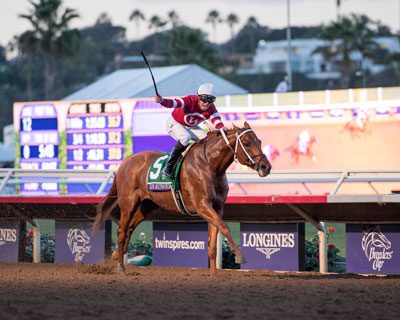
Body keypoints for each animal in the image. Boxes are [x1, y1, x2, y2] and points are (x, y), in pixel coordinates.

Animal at [93, 122, 272, 276]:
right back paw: (121, 267)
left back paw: (117, 254)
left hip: (146, 206)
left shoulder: (217, 207)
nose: (266, 167)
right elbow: (225, 227)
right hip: (128, 203)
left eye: (259, 141)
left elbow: (214, 241)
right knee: (122, 230)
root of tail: (124, 162)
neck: (210, 165)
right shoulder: (202, 205)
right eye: (246, 143)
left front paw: (213, 274)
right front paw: (240, 256)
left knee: (130, 227)